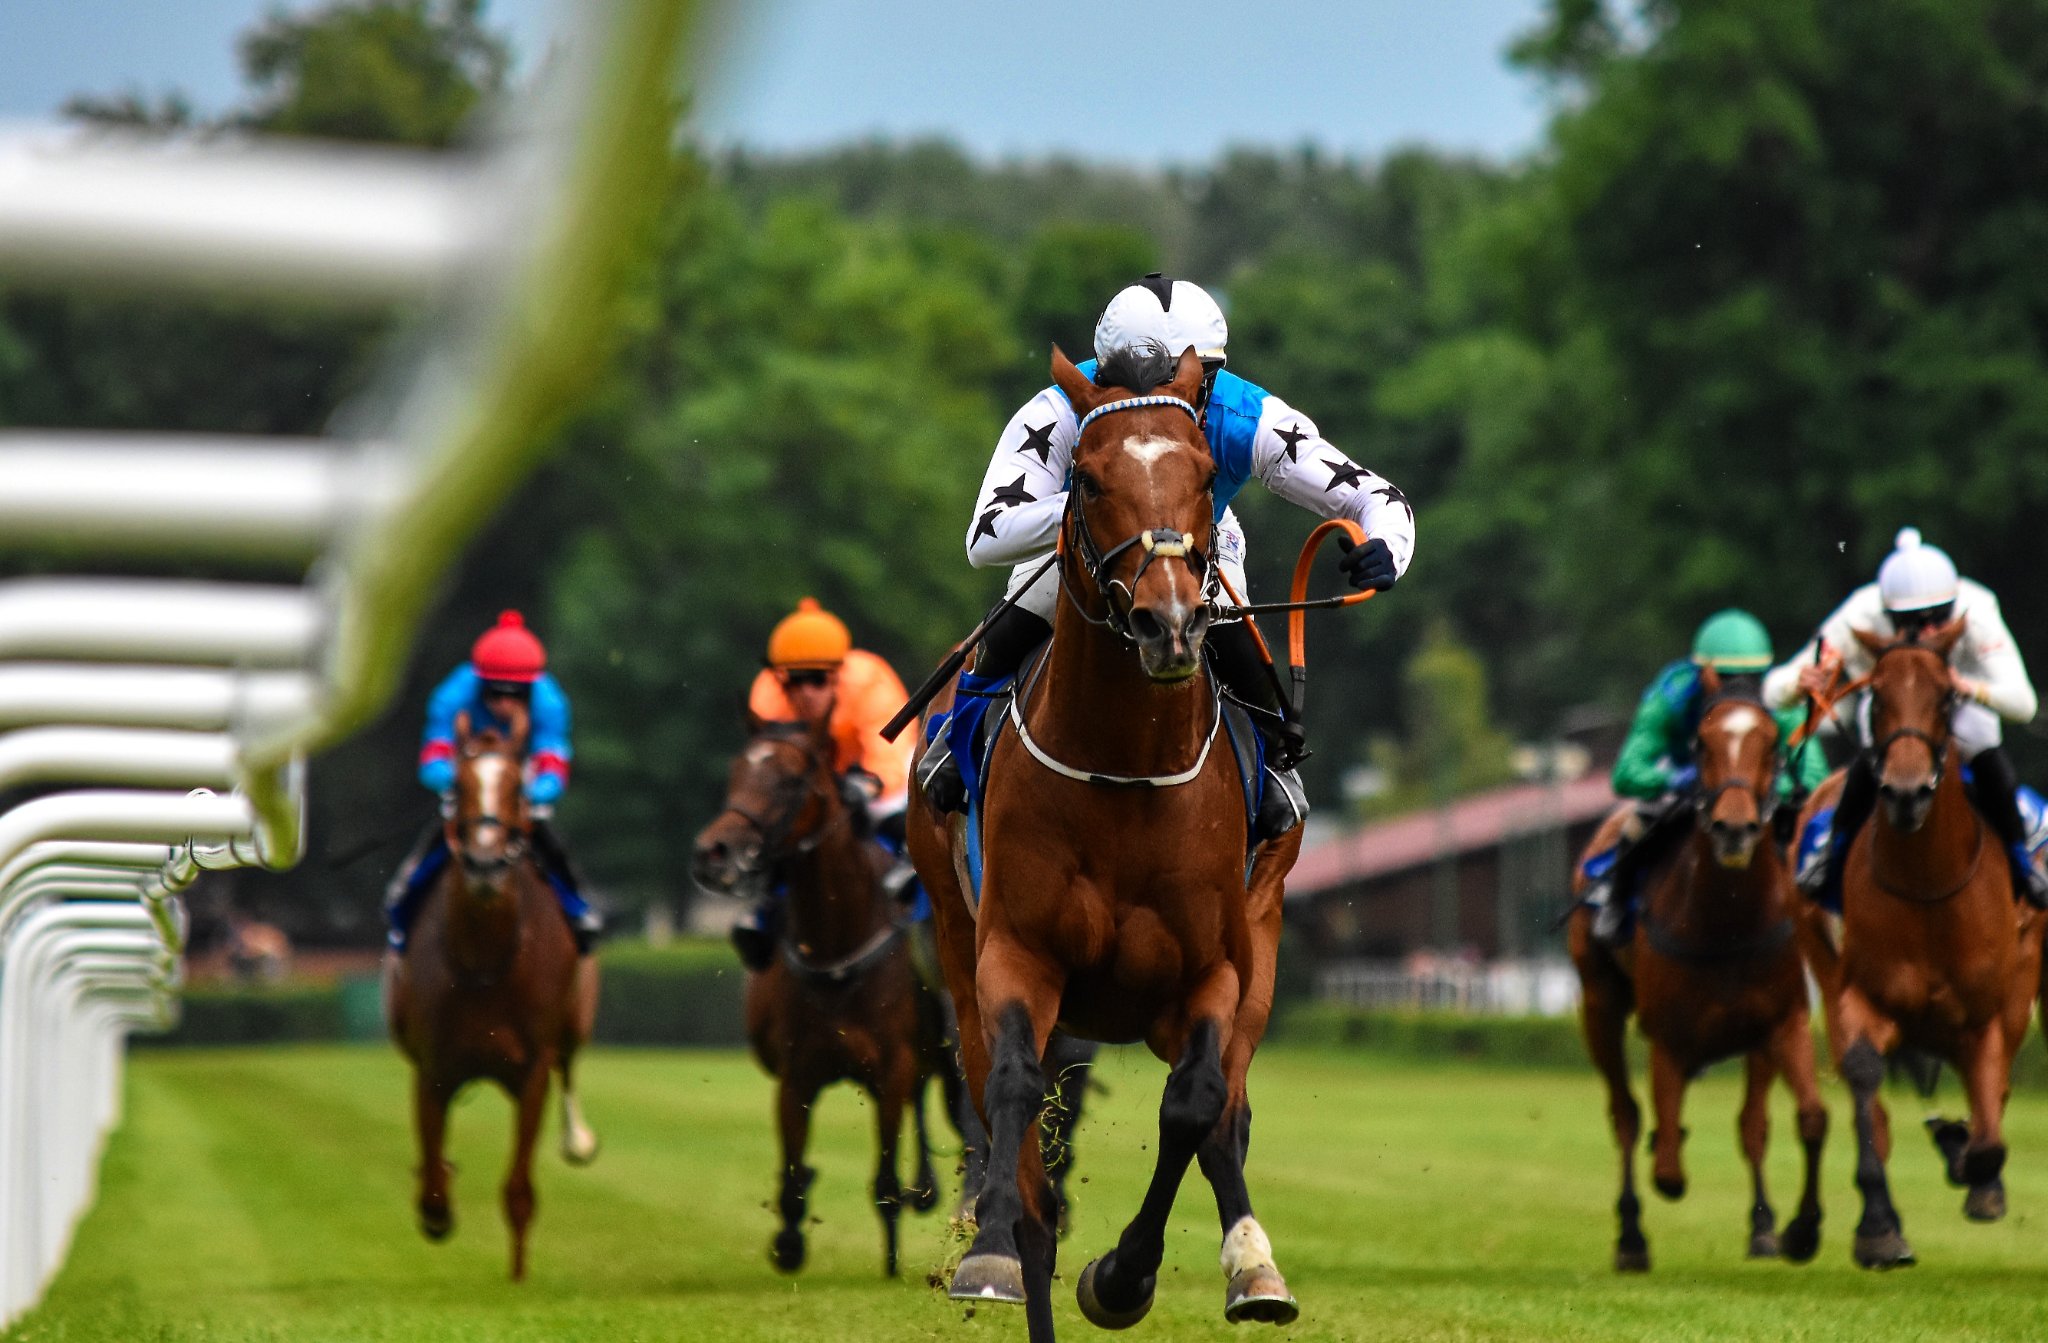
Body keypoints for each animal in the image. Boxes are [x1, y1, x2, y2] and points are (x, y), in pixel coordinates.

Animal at [387, 704, 598, 1277]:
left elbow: (520, 1189)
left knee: (571, 1068)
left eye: (517, 787)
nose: (484, 863)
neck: (484, 958)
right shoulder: (433, 1067)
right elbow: (433, 1177)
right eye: (459, 785)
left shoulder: (532, 1070)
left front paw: (519, 1272)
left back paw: (579, 1140)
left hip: (576, 1022)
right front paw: (437, 1206)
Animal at [909, 345, 1302, 1342]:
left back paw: (1255, 1265)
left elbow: (1195, 1105)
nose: (1170, 623)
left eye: (1202, 474)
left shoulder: (1213, 967)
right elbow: (1013, 1097)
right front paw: (994, 1251)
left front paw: (1125, 1276)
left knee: (1227, 1110)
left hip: (1262, 933)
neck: (1125, 770)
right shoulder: (1017, 951)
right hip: (953, 930)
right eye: (1086, 478)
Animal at [1564, 675, 1826, 1277]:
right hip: (1600, 1004)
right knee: (1625, 1115)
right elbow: (1666, 1163)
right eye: (1702, 745)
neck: (1724, 922)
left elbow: (1800, 1119)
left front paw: (1794, 1230)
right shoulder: (1669, 1035)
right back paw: (1631, 1236)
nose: (1734, 828)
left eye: (1772, 745)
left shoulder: (1782, 1023)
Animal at [1794, 622, 2031, 1261]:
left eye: (1946, 699)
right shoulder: (1861, 994)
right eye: (1875, 696)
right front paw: (1879, 1227)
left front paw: (1970, 1164)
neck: (1929, 889)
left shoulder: (1988, 1012)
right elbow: (1863, 1079)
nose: (1904, 793)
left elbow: (1991, 1135)